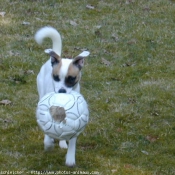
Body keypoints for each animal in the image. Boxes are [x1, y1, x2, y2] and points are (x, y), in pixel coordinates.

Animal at [34, 26, 89, 167]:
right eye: (56, 77)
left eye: (71, 79)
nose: (62, 91)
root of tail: (56, 56)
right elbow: (48, 134)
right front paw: (48, 145)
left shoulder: (77, 121)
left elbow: (73, 138)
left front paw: (70, 158)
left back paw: (63, 143)